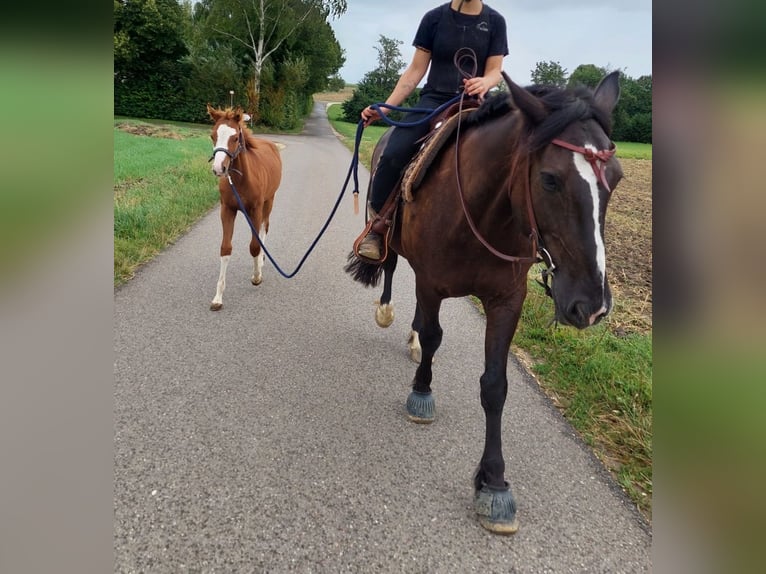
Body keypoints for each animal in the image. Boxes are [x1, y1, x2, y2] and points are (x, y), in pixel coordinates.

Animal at [207, 103, 284, 310]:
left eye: (234, 137)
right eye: (213, 135)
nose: (219, 168)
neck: (240, 180)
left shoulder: (255, 210)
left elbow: (254, 246)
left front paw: (256, 277)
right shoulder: (227, 210)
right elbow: (225, 248)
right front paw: (218, 297)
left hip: (269, 201)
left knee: (265, 227)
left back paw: (262, 261)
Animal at [348, 73, 624, 536]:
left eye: (616, 178)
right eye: (550, 179)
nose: (591, 305)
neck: (482, 211)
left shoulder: (507, 301)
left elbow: (495, 385)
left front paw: (493, 484)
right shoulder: (432, 282)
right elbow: (435, 335)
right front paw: (421, 394)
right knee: (390, 265)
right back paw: (388, 312)